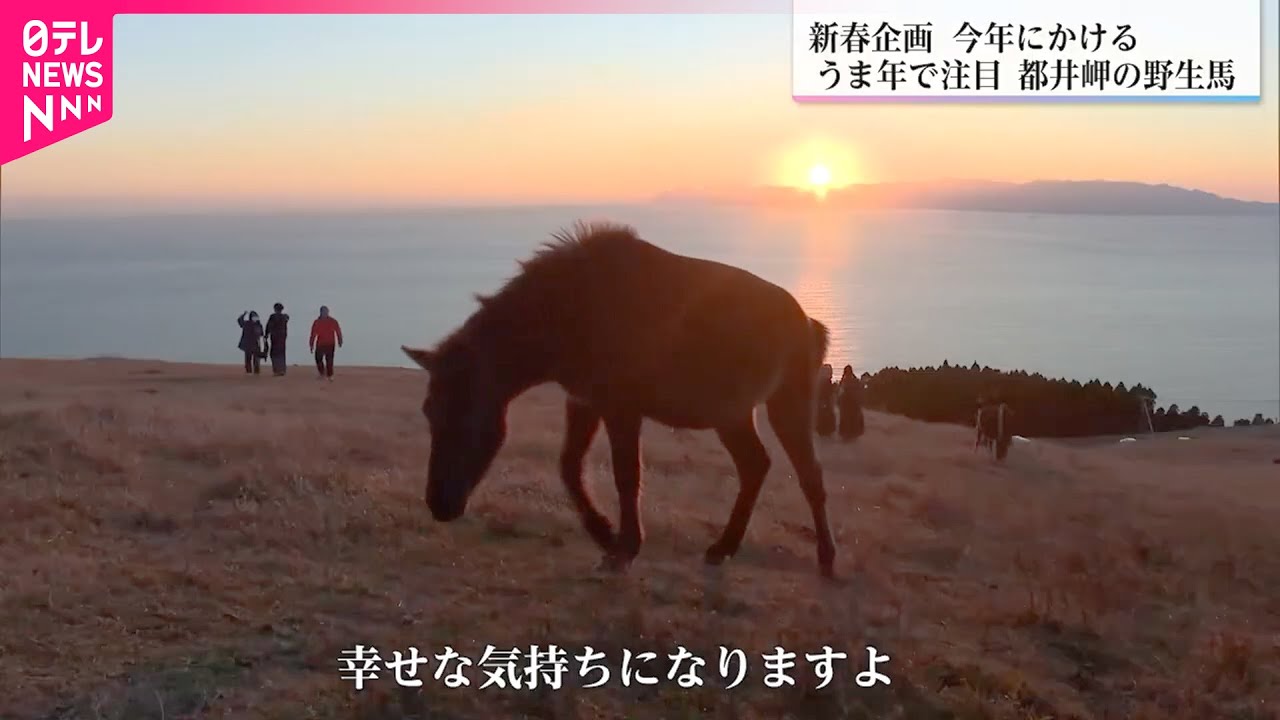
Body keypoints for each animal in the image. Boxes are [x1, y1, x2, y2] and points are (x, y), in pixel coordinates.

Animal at [400, 221, 838, 579]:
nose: (439, 503)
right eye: (429, 411)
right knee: (755, 465)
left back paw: (826, 557)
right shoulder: (584, 400)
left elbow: (626, 475)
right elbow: (569, 467)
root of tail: (808, 323)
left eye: (467, 412)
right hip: (732, 412)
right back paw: (723, 547)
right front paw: (605, 535)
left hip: (787, 401)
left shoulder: (622, 406)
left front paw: (625, 547)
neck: (565, 315)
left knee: (809, 474)